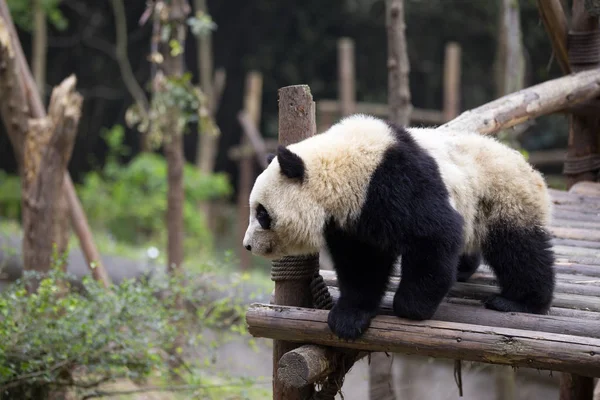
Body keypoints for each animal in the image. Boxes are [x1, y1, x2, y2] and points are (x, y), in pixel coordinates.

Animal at [241, 112, 556, 340]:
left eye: (262, 214)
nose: (247, 245)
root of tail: (529, 166)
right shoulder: (353, 217)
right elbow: (362, 263)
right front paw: (349, 317)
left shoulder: (394, 180)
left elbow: (434, 233)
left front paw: (411, 307)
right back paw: (464, 270)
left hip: (504, 197)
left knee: (519, 249)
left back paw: (520, 302)